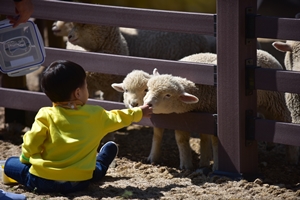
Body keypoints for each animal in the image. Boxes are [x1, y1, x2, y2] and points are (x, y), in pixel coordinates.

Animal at [144, 49, 298, 170]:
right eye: (148, 88)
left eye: (167, 95)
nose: (147, 103)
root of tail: (264, 52)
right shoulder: (184, 117)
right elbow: (183, 140)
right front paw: (187, 165)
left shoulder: (215, 119)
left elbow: (216, 143)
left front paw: (216, 166)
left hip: (276, 102)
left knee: (285, 120)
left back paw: (292, 158)